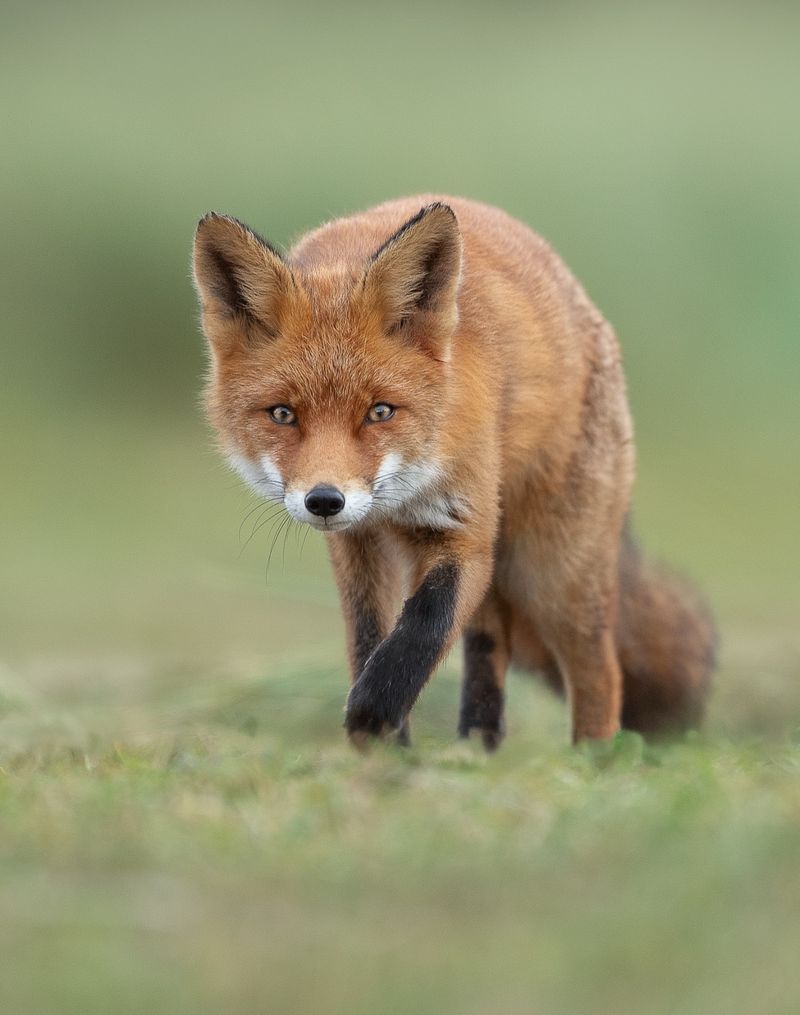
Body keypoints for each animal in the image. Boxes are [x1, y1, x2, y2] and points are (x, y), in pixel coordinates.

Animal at [192, 195, 716, 747]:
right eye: (282, 414)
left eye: (380, 412)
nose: (325, 500)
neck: (400, 498)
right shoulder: (358, 546)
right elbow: (370, 640)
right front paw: (385, 751)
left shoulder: (463, 530)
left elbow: (423, 627)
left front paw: (373, 716)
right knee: (490, 642)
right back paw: (476, 748)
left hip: (550, 571)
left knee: (600, 667)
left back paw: (592, 756)